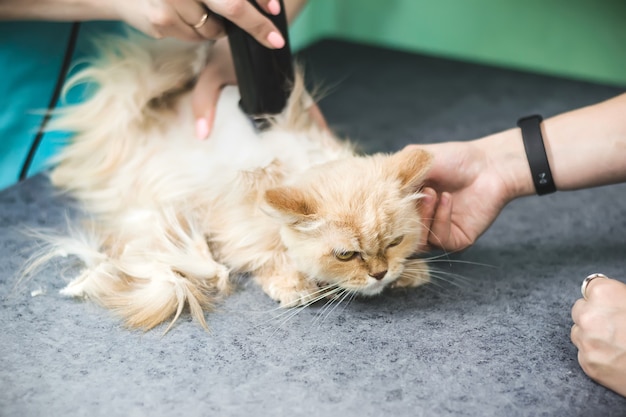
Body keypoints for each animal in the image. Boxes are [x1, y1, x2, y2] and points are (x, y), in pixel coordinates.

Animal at [37, 32, 434, 330]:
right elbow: (266, 259)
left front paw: (408, 270)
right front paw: (294, 286)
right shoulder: (233, 226)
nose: (380, 274)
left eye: (395, 241)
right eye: (346, 254)